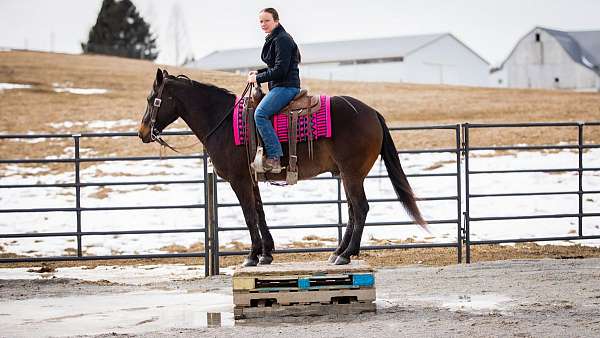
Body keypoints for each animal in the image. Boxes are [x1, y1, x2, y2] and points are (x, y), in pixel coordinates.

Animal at [137, 67, 426, 266]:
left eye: (152, 99)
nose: (142, 133)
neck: (223, 122)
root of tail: (372, 113)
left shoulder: (239, 180)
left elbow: (249, 215)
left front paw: (252, 255)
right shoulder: (251, 179)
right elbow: (259, 213)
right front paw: (266, 253)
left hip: (352, 174)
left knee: (361, 209)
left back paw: (346, 254)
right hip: (347, 176)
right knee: (353, 211)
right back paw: (338, 252)